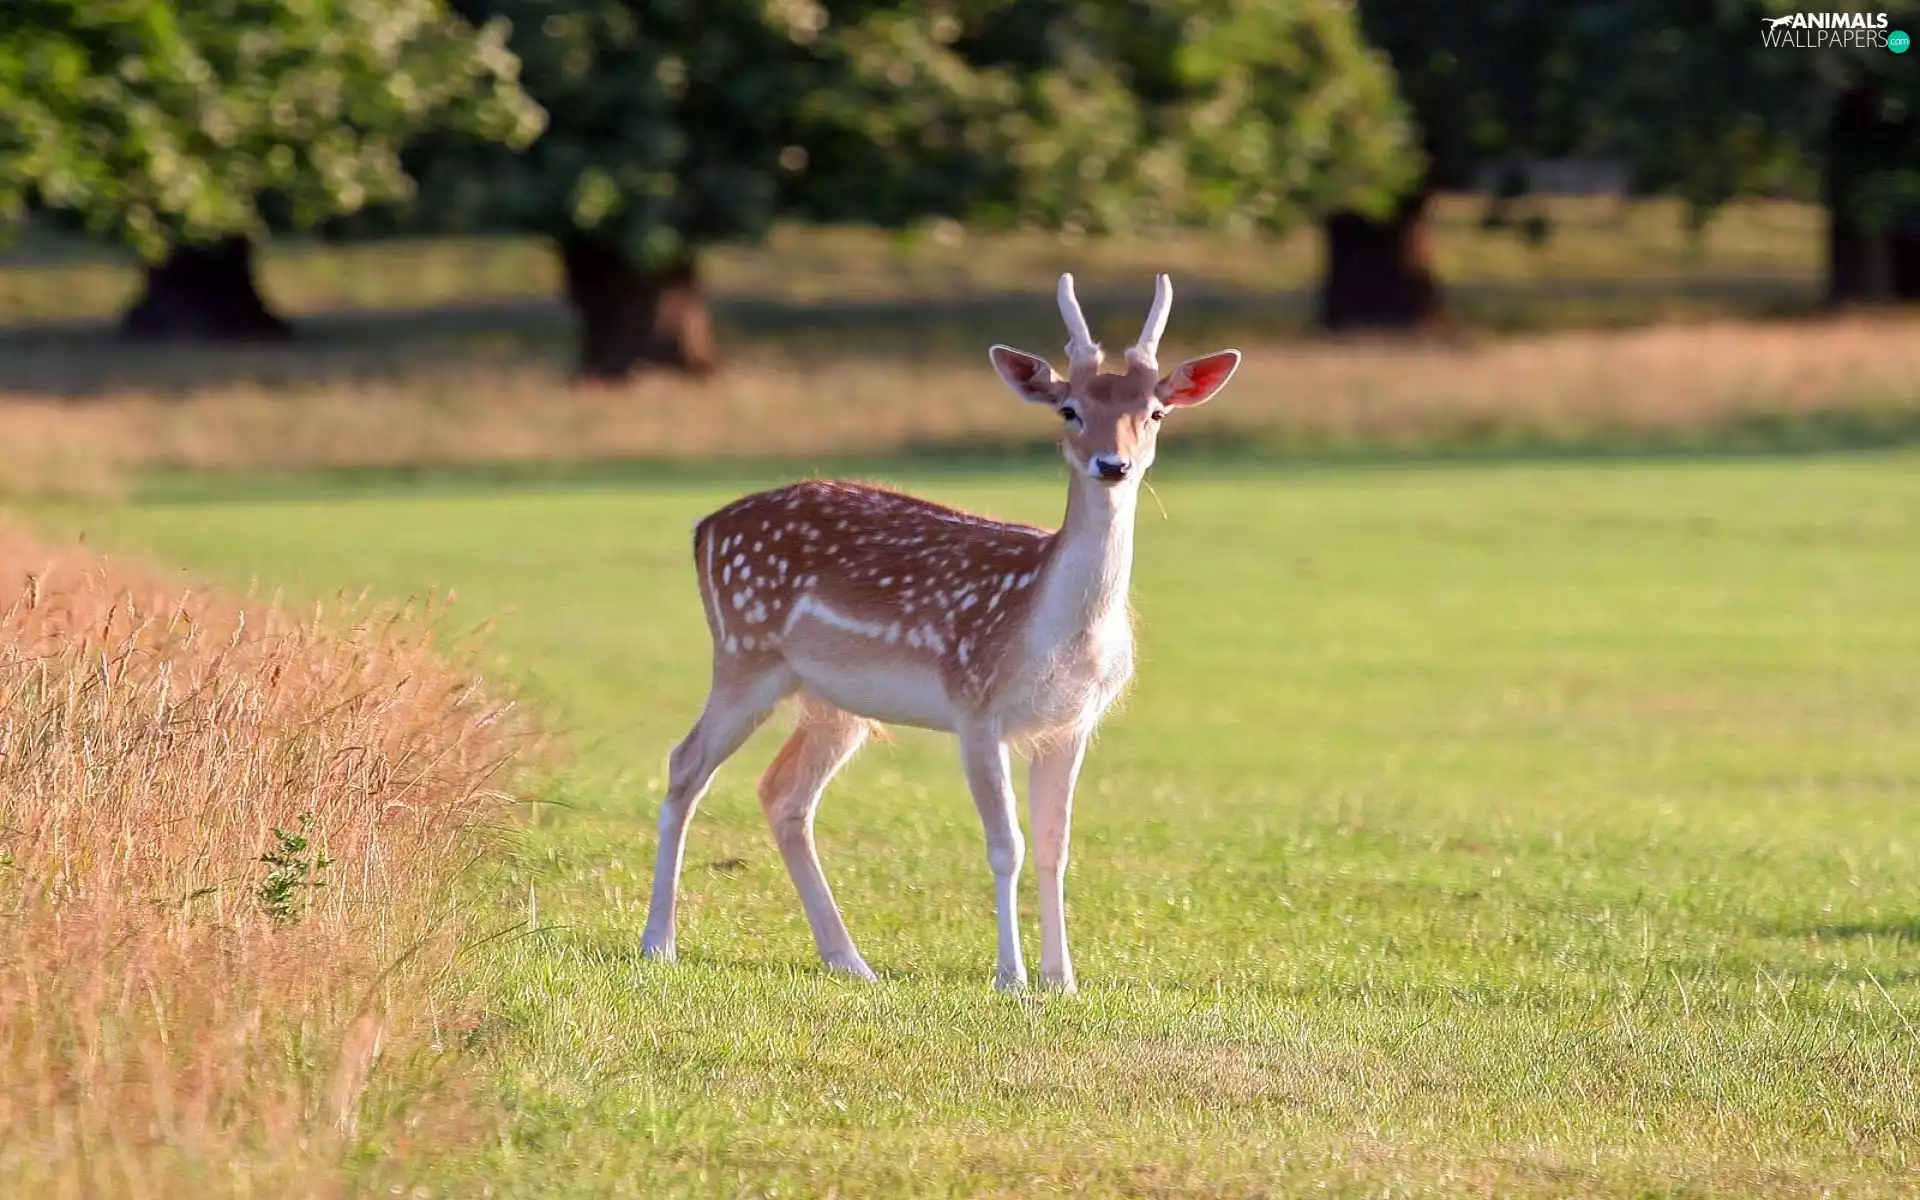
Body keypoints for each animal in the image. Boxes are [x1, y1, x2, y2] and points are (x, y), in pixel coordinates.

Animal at [640, 273, 1240, 991]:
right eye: (1068, 409)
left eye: (1155, 413)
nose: (1112, 464)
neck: (1054, 631)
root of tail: (704, 528)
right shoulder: (975, 703)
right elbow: (1006, 844)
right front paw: (1011, 977)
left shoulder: (1072, 723)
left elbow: (1055, 846)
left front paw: (1062, 979)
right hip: (744, 652)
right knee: (685, 764)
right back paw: (658, 942)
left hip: (832, 701)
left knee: (783, 794)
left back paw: (850, 960)